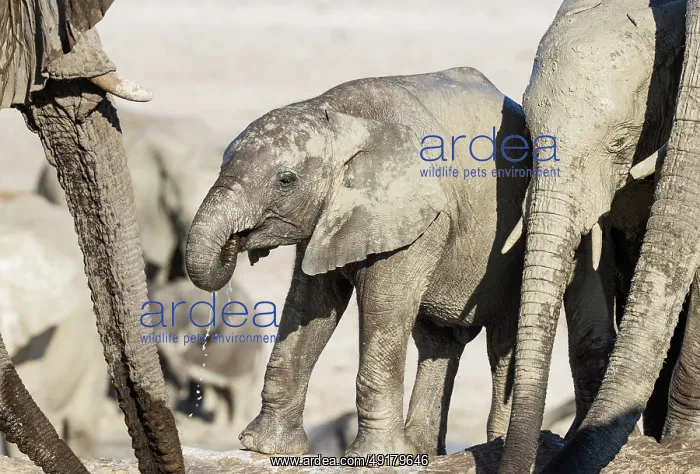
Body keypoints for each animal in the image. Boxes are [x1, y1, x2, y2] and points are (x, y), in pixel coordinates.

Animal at [184, 66, 620, 457]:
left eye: (286, 179)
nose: (235, 245)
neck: (339, 115)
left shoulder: (422, 220)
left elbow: (384, 307)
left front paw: (373, 458)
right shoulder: (330, 219)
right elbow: (309, 308)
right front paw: (263, 448)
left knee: (502, 342)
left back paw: (490, 446)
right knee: (439, 343)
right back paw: (423, 452)